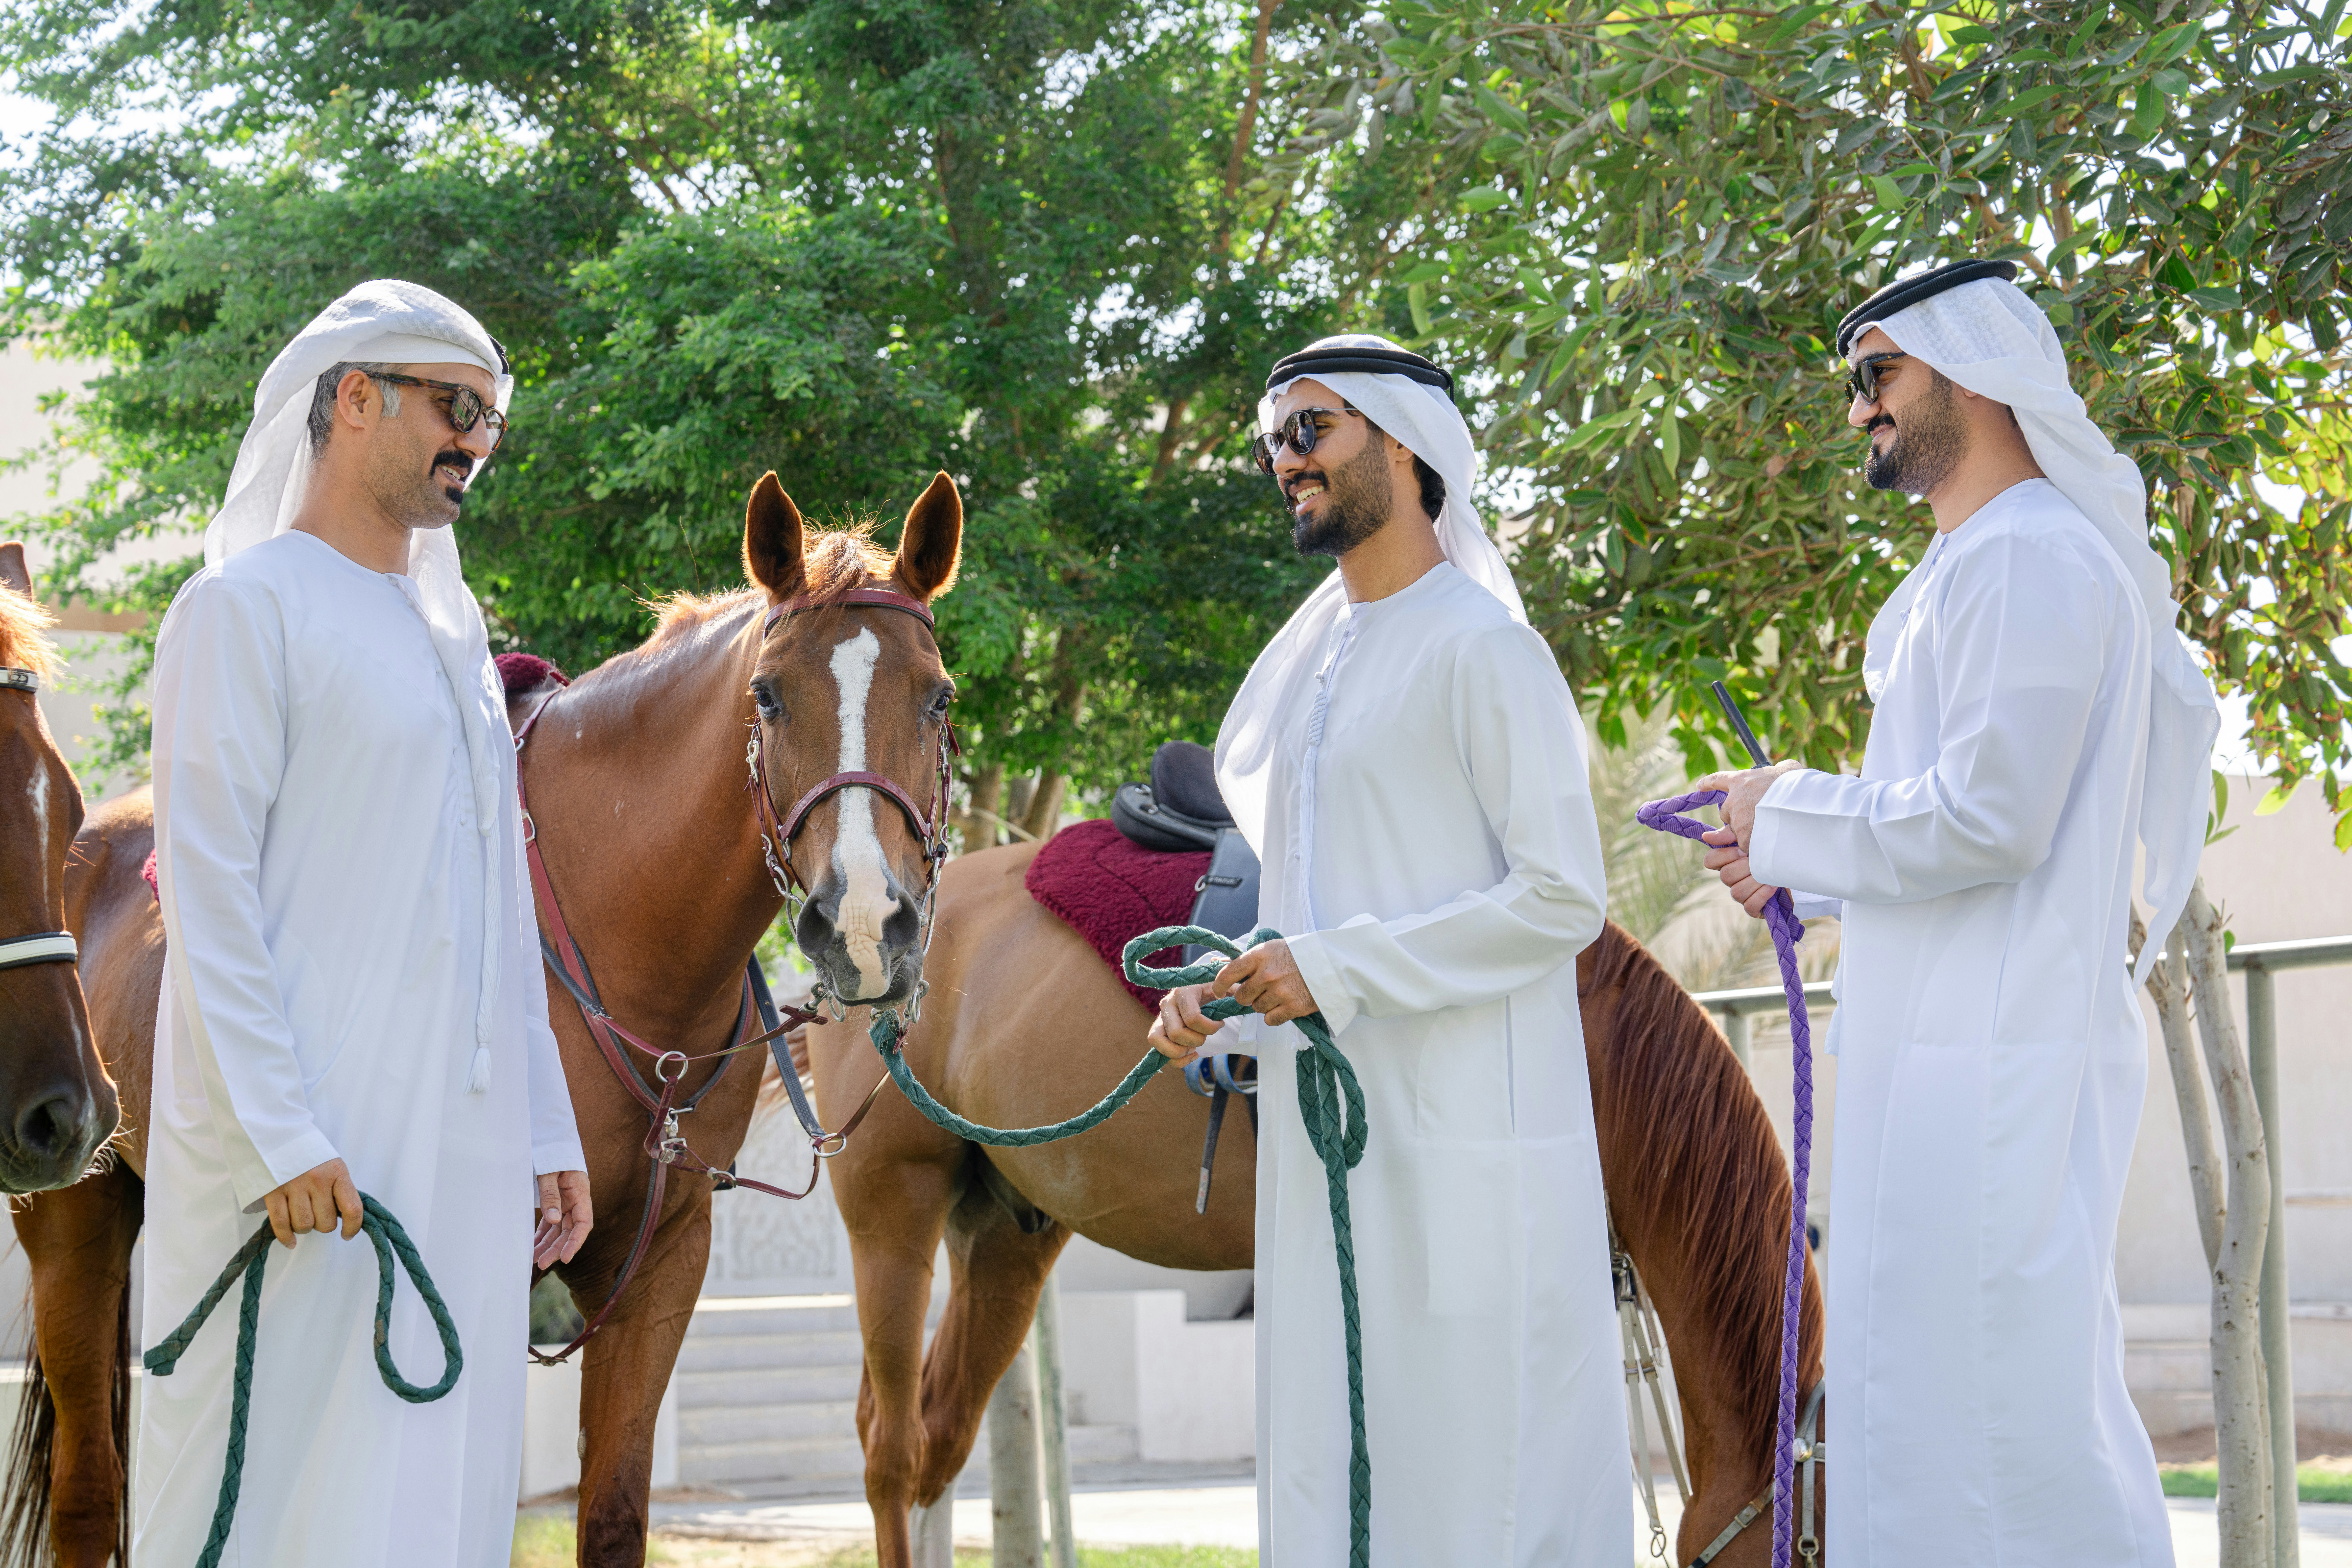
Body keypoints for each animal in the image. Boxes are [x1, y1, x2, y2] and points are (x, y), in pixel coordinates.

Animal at [0, 474, 964, 1567]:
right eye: (769, 695)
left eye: (939, 697)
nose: (865, 925)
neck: (618, 927)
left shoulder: (662, 1262)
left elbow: (615, 1513)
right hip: (74, 1222)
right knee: (91, 1491)